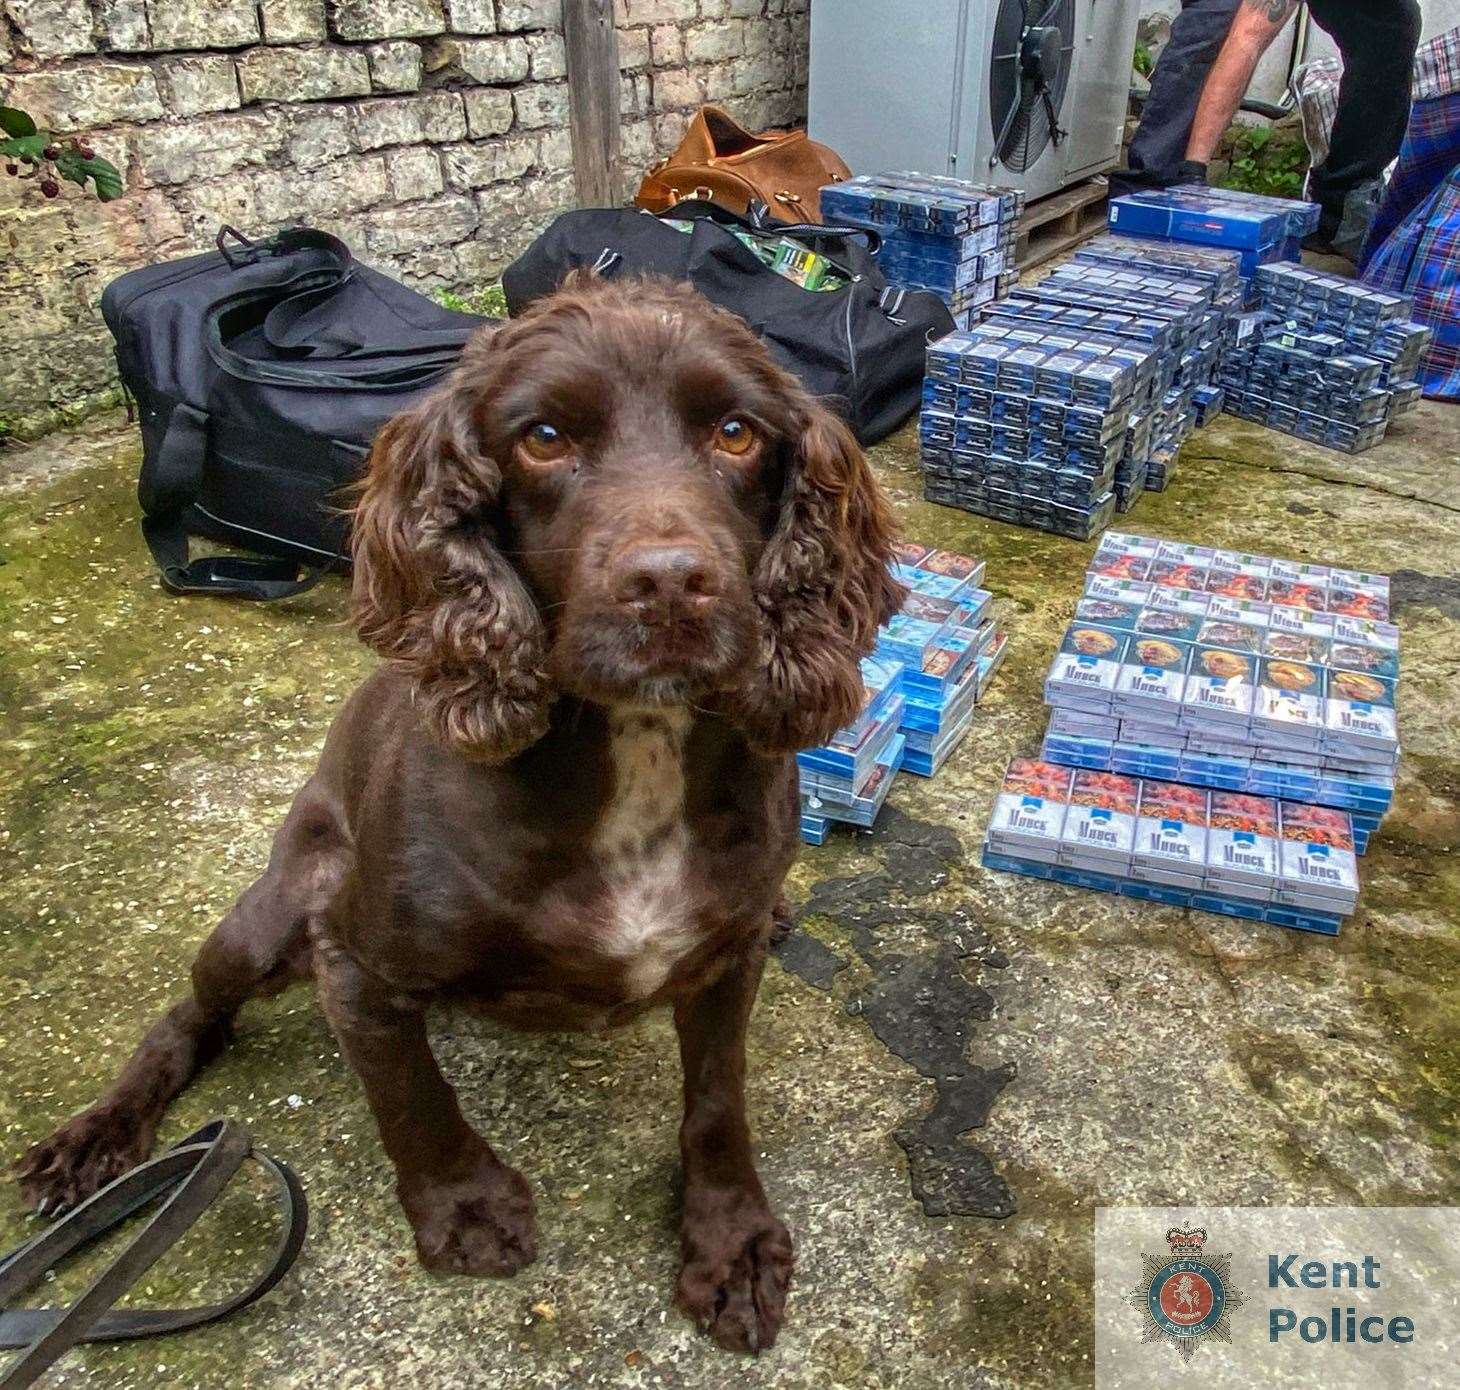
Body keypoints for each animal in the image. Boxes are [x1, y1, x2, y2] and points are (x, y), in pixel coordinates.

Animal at [14, 274, 899, 1354]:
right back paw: (99, 1138)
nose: (668, 585)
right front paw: (466, 1206)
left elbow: (718, 1102)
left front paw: (729, 1244)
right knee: (190, 1013)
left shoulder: (721, 959)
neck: (635, 744)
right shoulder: (356, 964)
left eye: (735, 431)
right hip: (272, 909)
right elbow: (412, 1098)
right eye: (543, 436)